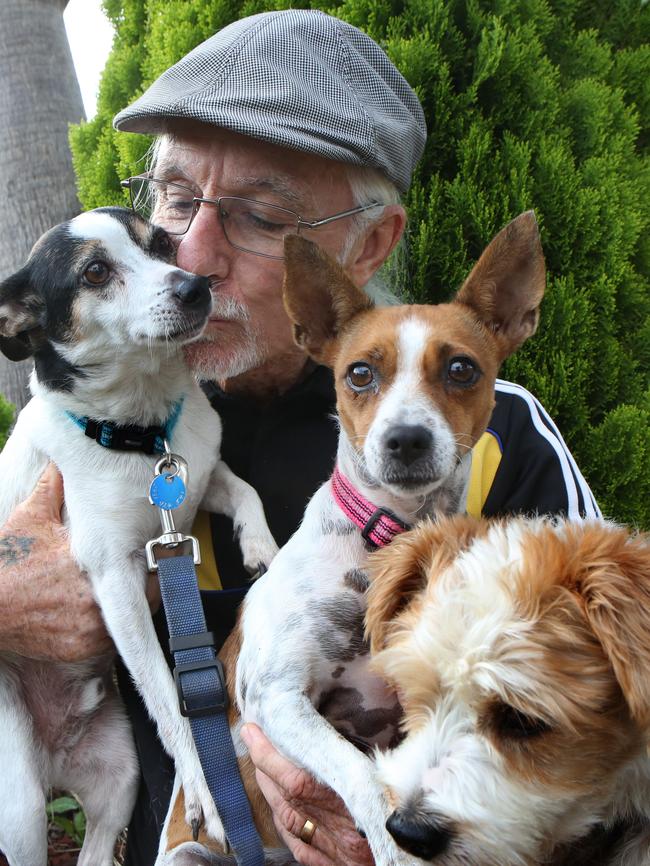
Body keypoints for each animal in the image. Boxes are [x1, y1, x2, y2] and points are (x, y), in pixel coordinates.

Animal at [0, 208, 276, 864]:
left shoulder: (198, 479)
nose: (196, 285)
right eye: (95, 272)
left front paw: (263, 549)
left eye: (164, 245)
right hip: (19, 804)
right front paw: (205, 789)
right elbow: (169, 702)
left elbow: (244, 490)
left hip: (118, 778)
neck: (139, 434)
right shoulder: (114, 580)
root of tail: (53, 756)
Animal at [159, 211, 544, 864]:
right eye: (359, 373)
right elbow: (361, 774)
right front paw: (391, 845)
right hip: (187, 850)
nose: (407, 439)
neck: (387, 545)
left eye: (462, 369)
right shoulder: (278, 698)